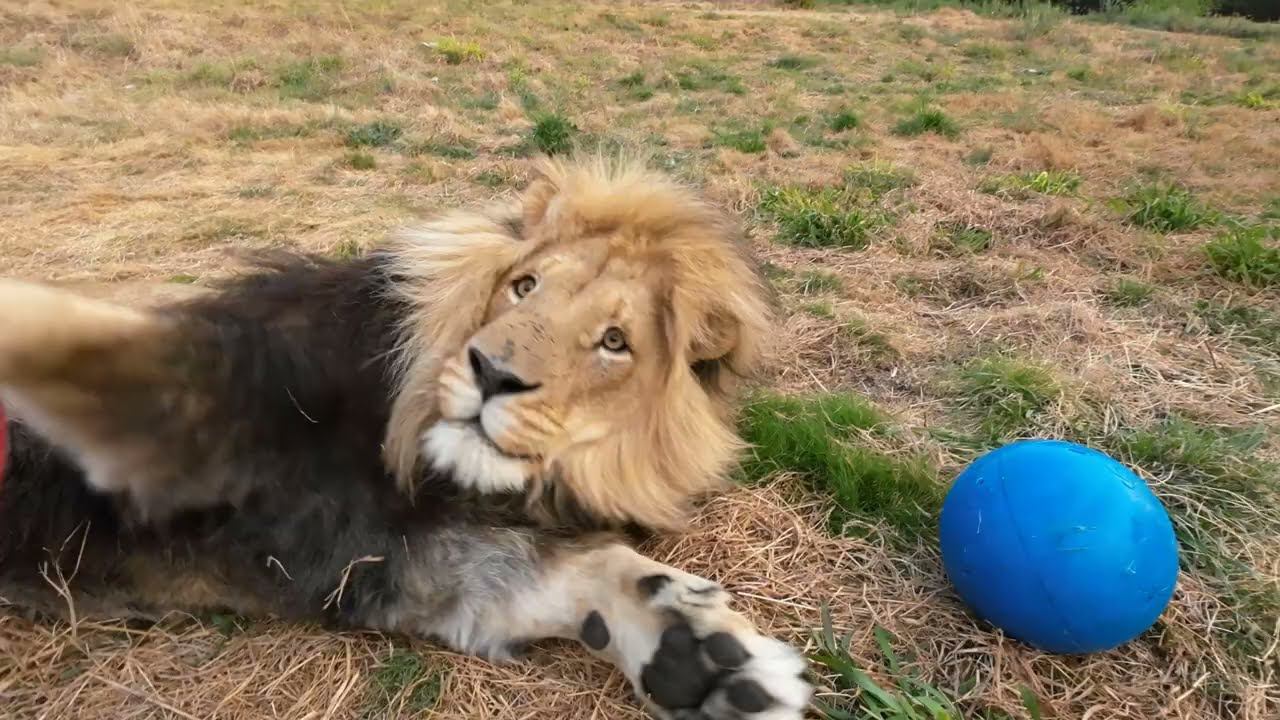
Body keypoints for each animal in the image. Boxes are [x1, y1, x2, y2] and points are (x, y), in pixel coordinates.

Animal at [0, 155, 812, 719]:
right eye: (524, 287)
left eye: (615, 342)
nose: (491, 372)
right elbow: (117, 346)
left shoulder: (368, 557)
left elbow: (555, 572)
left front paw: (697, 658)